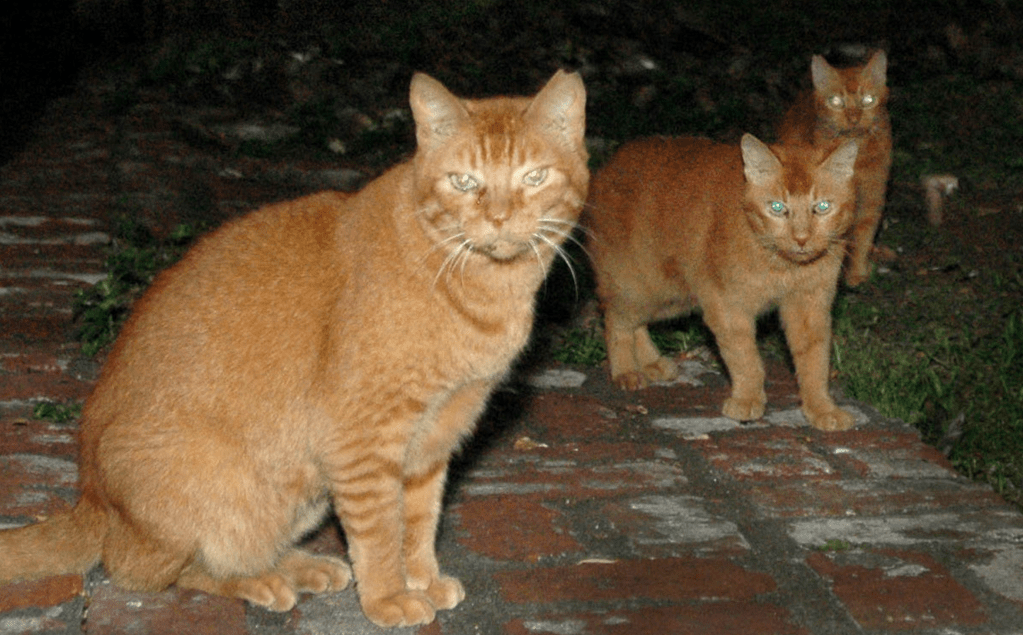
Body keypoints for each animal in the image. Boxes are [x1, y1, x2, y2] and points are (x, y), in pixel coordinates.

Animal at [0, 69, 589, 625]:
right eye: (464, 181)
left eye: (534, 177)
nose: (498, 218)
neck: (484, 286)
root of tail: (89, 495)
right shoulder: (362, 438)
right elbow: (381, 531)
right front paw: (389, 596)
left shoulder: (434, 437)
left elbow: (419, 522)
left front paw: (421, 578)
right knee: (146, 569)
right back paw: (263, 580)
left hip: (301, 492)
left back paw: (299, 565)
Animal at [589, 133, 859, 431]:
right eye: (777, 208)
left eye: (822, 207)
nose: (801, 239)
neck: (782, 264)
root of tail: (607, 168)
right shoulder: (727, 306)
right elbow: (745, 358)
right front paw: (747, 399)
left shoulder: (810, 308)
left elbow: (815, 363)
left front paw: (821, 409)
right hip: (640, 285)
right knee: (614, 318)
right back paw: (626, 370)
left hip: (672, 297)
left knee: (636, 323)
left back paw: (652, 363)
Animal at [777, 50, 892, 286]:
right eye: (837, 101)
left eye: (867, 100)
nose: (854, 118)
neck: (857, 157)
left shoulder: (870, 204)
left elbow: (863, 241)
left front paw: (857, 274)